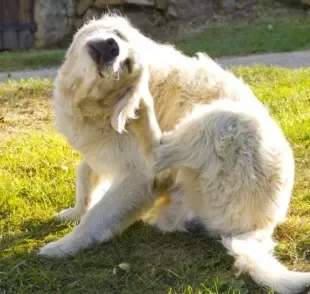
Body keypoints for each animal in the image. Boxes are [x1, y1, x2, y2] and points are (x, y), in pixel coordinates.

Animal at [38, 14, 310, 294]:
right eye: (117, 35)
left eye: (127, 64)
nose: (114, 46)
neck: (94, 105)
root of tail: (260, 228)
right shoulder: (102, 151)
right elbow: (84, 173)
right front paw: (74, 212)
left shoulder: (138, 177)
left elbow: (97, 215)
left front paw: (64, 246)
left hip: (228, 120)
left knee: (159, 153)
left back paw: (142, 106)